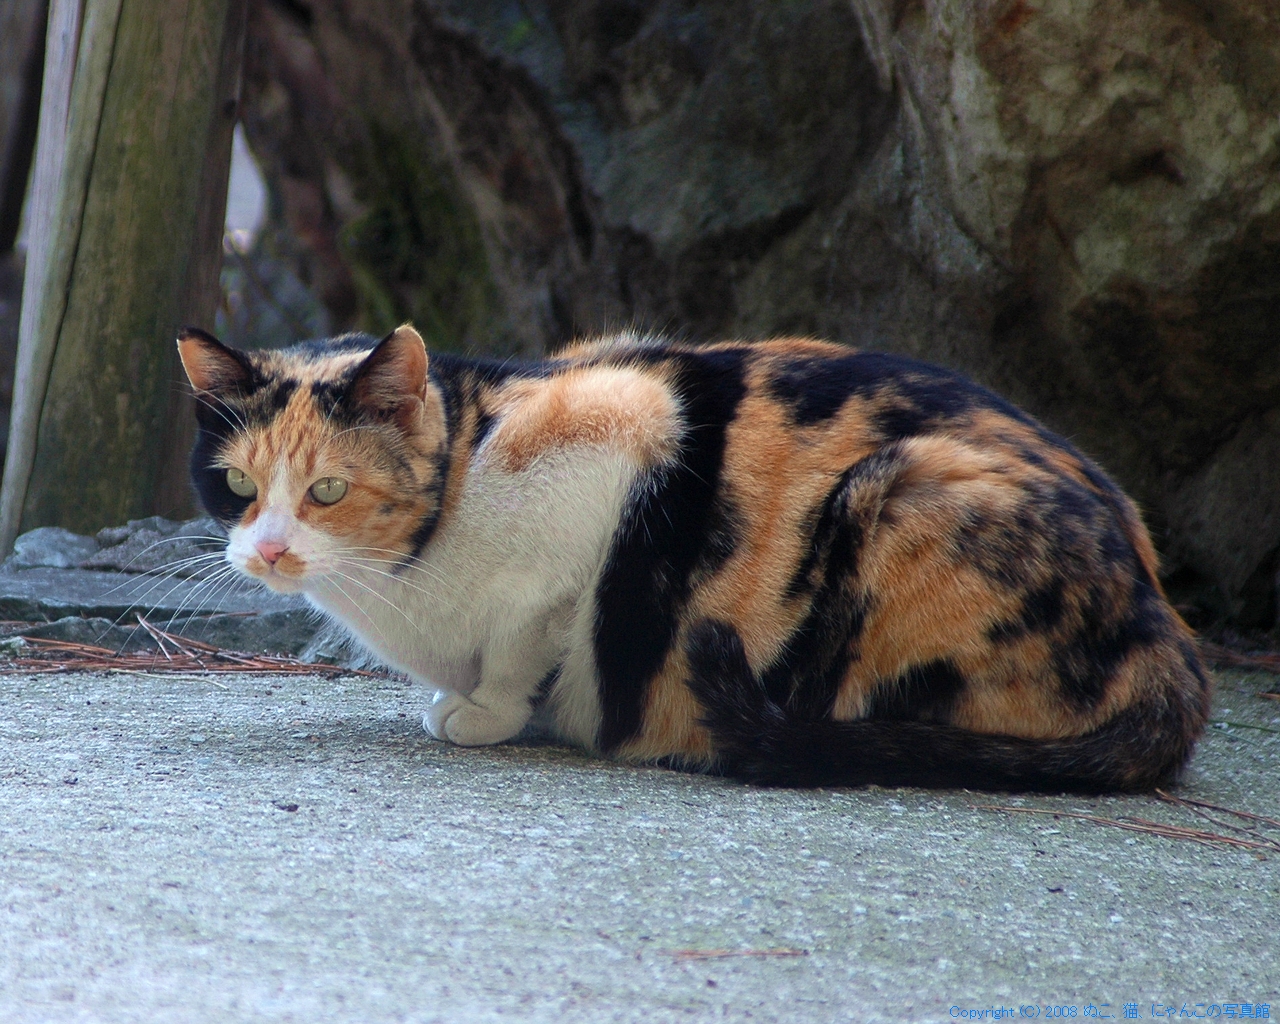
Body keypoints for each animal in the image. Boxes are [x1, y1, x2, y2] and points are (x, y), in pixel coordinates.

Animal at [177, 326, 1208, 793]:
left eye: (327, 491)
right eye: (235, 485)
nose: (268, 550)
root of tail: (1169, 630)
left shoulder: (625, 430)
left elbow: (527, 636)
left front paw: (486, 712)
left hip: (899, 494)